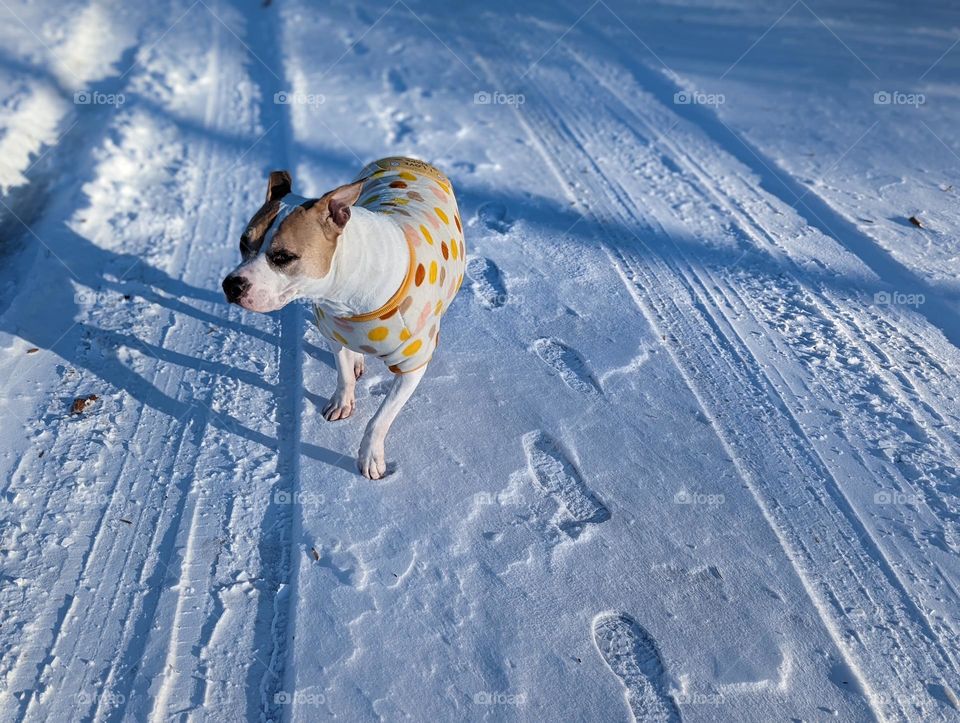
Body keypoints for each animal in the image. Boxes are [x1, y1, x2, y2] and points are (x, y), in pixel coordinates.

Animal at [222, 156, 468, 478]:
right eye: (242, 242)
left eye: (283, 257)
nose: (231, 285)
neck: (347, 291)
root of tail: (408, 160)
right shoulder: (332, 330)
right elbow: (343, 373)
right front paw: (343, 400)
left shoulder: (413, 365)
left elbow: (380, 418)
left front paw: (370, 457)